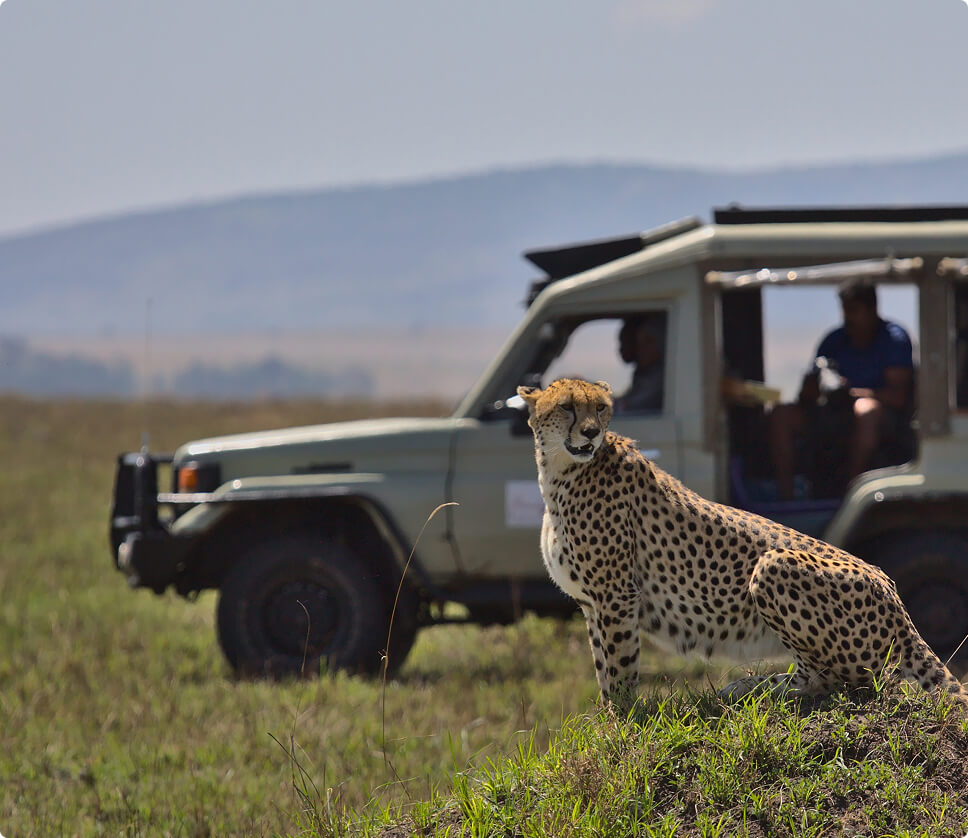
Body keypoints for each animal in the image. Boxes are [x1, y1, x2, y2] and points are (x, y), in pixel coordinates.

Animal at [517, 377, 968, 710]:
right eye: (567, 407)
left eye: (600, 408)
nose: (591, 433)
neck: (558, 473)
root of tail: (895, 598)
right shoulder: (593, 603)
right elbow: (602, 665)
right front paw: (609, 717)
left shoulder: (615, 595)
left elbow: (620, 665)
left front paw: (622, 721)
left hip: (773, 566)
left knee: (844, 682)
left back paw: (757, 689)